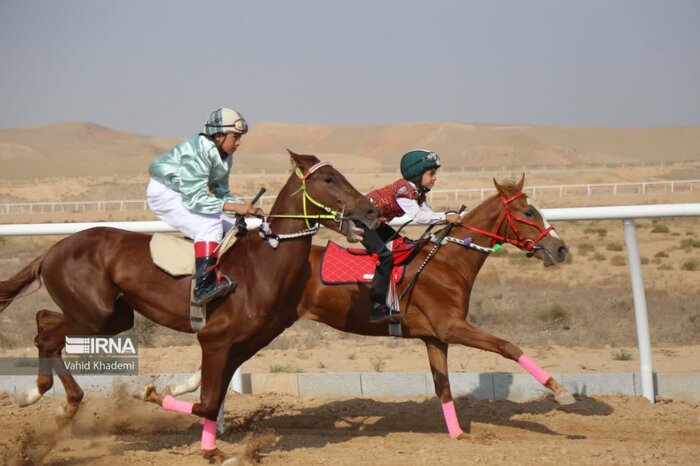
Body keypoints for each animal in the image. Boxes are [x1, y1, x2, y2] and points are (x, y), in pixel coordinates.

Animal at [0, 153, 380, 462]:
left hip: (112, 317)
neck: (264, 263)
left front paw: (213, 450)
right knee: (47, 336)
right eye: (329, 179)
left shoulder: (242, 343)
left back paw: (58, 399)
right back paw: (42, 396)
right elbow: (208, 401)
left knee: (45, 321)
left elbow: (214, 399)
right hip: (96, 315)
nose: (371, 210)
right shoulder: (215, 339)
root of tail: (53, 249)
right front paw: (151, 392)